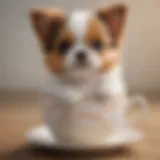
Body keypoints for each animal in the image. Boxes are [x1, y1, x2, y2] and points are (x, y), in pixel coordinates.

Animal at [26, 3, 147, 146]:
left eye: (98, 45)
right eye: (64, 46)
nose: (81, 53)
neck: (84, 79)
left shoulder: (113, 74)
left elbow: (107, 79)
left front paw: (104, 91)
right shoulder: (52, 84)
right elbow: (61, 86)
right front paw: (72, 95)